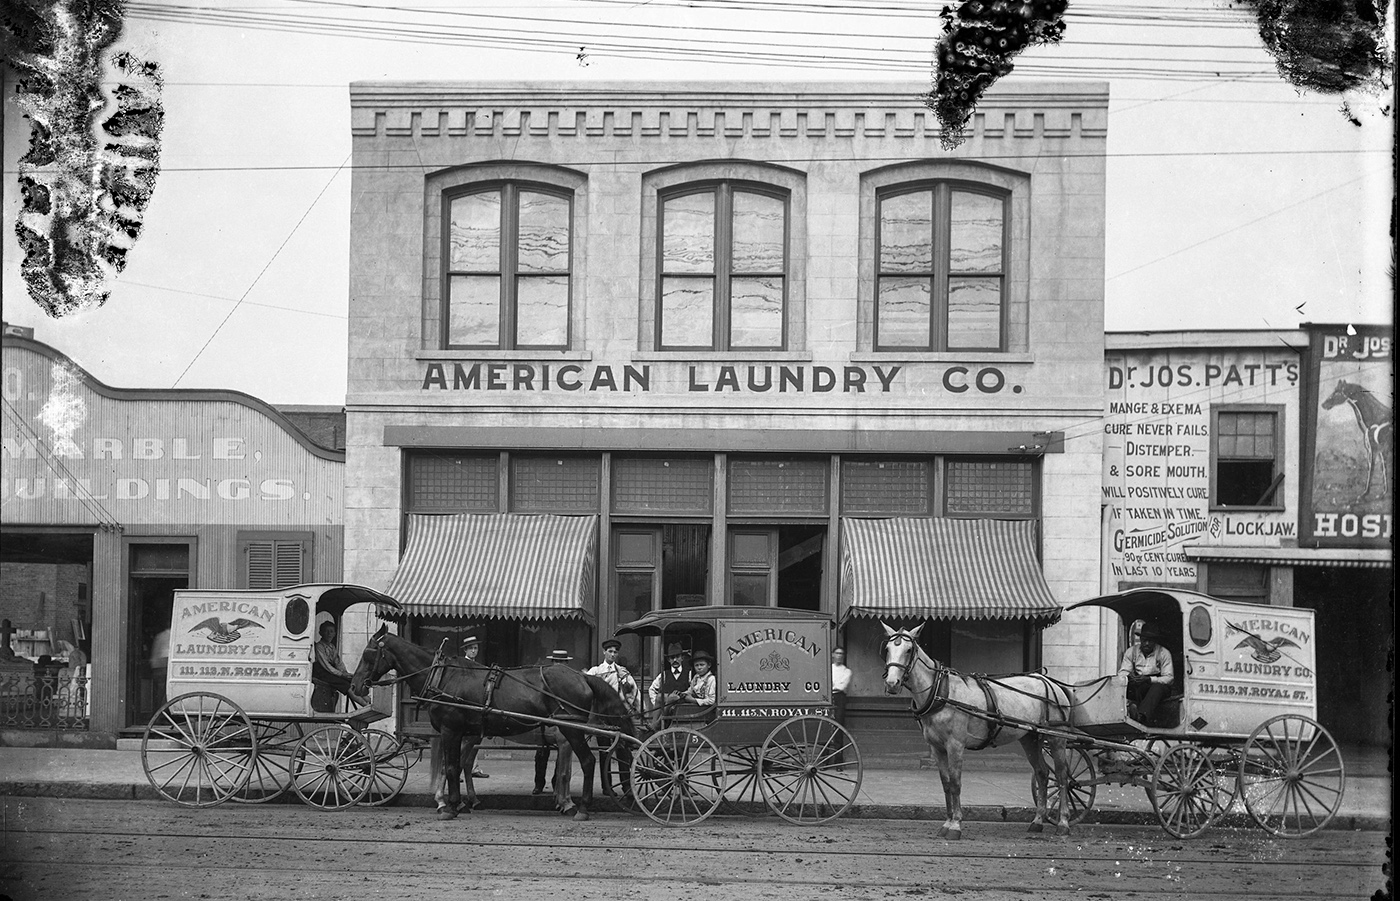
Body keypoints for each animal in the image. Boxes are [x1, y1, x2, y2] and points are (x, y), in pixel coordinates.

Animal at [350, 629, 635, 822]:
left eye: (368, 654)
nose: (355, 685)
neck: (442, 676)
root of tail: (582, 677)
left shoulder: (451, 730)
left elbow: (451, 767)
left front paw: (451, 807)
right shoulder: (455, 732)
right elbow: (452, 767)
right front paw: (453, 804)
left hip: (572, 730)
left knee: (588, 762)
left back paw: (583, 808)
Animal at [879, 626, 1075, 839]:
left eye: (908, 650)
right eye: (887, 649)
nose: (892, 683)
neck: (941, 691)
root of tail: (1052, 683)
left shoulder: (955, 745)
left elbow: (956, 783)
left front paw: (956, 825)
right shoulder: (937, 748)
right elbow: (946, 783)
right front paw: (947, 823)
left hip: (1056, 738)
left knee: (1062, 777)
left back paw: (1063, 823)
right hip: (1030, 738)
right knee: (1042, 773)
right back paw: (1037, 821)